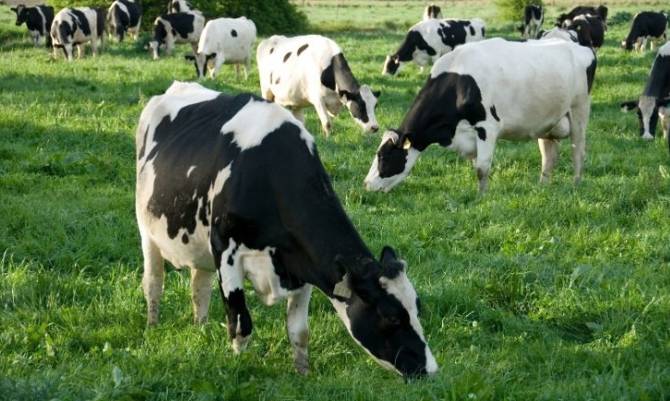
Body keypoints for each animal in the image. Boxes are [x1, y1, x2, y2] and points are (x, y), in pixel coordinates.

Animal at [136, 80, 440, 376]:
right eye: (391, 317)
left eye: (417, 308)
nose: (430, 370)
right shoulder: (226, 252)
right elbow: (241, 324)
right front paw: (238, 365)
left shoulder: (303, 264)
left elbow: (299, 331)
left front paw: (302, 373)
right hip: (146, 230)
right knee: (153, 282)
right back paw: (152, 326)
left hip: (199, 245)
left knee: (199, 287)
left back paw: (201, 327)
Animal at [364, 38, 596, 194]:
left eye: (383, 156)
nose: (366, 184)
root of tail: (581, 47)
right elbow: (477, 164)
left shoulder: (487, 127)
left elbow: (482, 168)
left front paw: (481, 197)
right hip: (547, 122)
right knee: (549, 156)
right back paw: (542, 187)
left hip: (579, 111)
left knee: (578, 151)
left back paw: (575, 184)